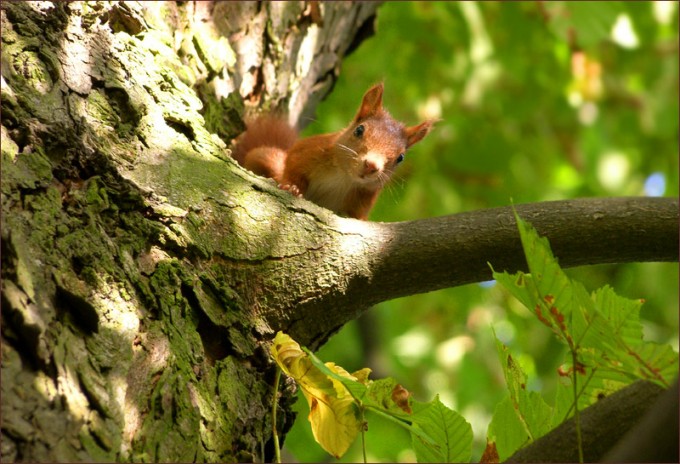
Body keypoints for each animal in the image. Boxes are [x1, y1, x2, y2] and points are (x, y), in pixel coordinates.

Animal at [231, 83, 434, 220]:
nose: (371, 166)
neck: (344, 178)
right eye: (359, 130)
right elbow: (293, 167)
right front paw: (292, 187)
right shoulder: (308, 151)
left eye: (401, 157)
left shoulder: (365, 197)